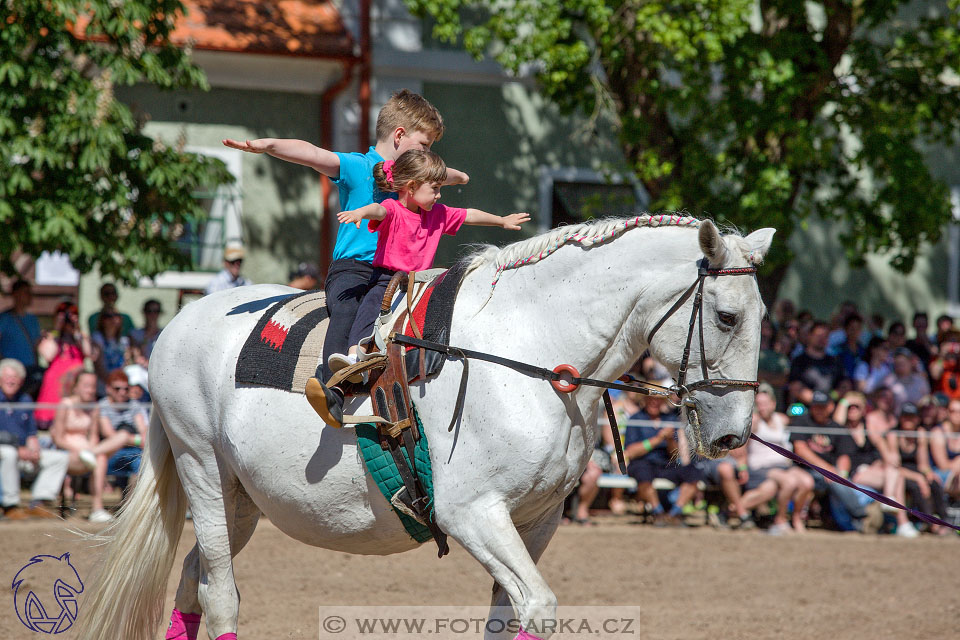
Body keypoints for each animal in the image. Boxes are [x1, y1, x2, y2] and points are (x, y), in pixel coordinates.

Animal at [79, 216, 776, 640]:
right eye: (727, 316)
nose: (733, 436)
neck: (524, 351)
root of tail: (181, 322)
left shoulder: (535, 521)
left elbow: (509, 615)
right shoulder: (471, 513)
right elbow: (539, 605)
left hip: (239, 501)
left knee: (193, 584)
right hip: (203, 471)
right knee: (220, 594)